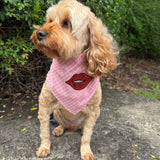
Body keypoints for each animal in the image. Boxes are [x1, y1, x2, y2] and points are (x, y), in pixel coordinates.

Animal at [30, 0, 118, 159]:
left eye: (67, 23)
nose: (39, 33)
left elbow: (87, 137)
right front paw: (44, 147)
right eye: (50, 20)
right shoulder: (44, 106)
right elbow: (44, 132)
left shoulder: (93, 112)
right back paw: (59, 128)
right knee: (63, 124)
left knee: (83, 129)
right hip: (56, 113)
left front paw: (86, 151)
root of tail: (72, 126)